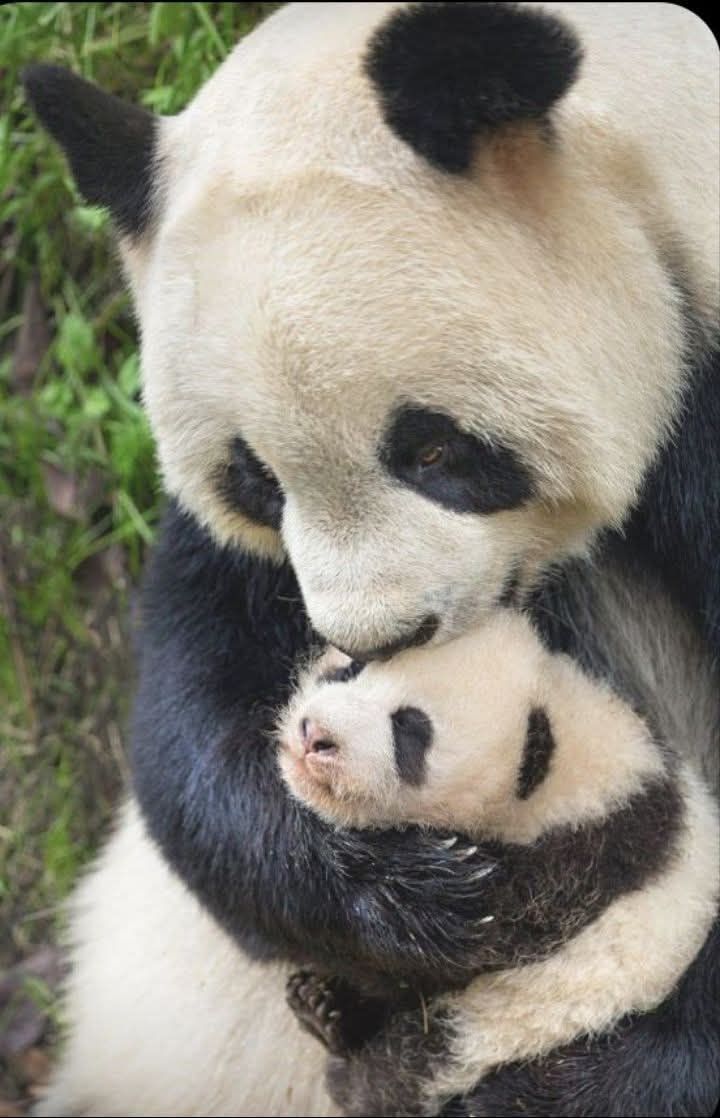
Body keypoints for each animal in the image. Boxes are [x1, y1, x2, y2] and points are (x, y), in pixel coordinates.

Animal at [276, 616, 719, 1114]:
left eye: (410, 732)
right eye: (352, 669)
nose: (315, 736)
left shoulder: (592, 856)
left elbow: (487, 933)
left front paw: (431, 896)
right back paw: (324, 1008)